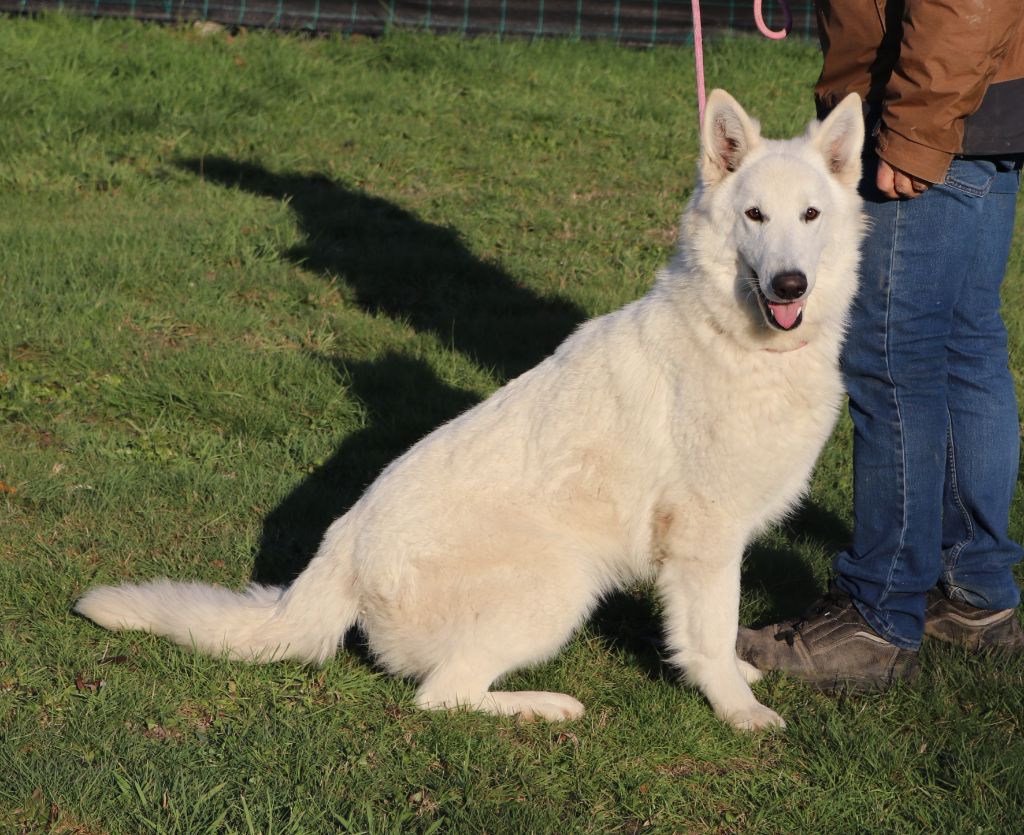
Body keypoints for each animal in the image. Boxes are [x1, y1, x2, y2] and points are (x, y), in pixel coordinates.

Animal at [76, 90, 865, 731]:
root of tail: (338, 556)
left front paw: (740, 675)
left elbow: (716, 634)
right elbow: (708, 635)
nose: (790, 283)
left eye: (810, 215)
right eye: (754, 215)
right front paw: (738, 708)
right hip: (559, 581)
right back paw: (544, 707)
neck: (739, 341)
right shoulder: (705, 540)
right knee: (439, 697)